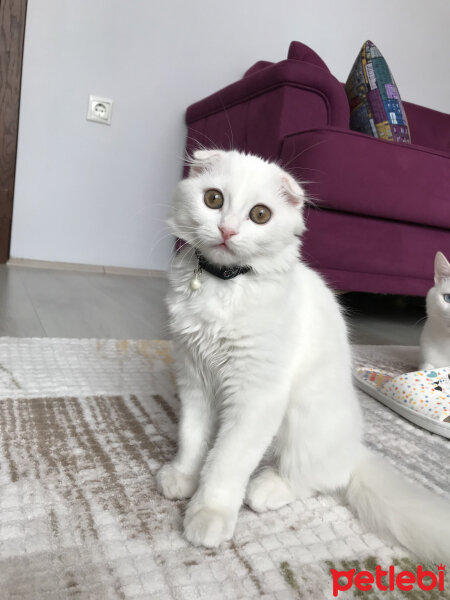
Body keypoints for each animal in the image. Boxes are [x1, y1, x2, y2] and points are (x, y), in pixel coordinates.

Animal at [156, 150, 448, 564]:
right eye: (213, 199)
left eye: (260, 214)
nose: (227, 230)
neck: (224, 284)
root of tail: (354, 449)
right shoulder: (194, 378)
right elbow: (192, 438)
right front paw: (183, 476)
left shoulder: (257, 396)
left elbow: (226, 461)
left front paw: (208, 514)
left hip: (300, 421)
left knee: (318, 479)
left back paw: (264, 489)